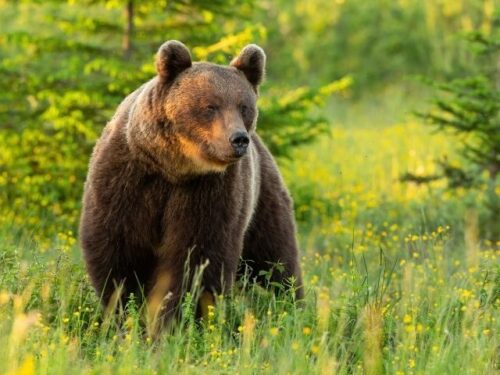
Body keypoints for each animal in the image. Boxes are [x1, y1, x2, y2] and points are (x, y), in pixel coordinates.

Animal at [80, 41, 302, 334]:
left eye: (243, 106)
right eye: (210, 106)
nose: (238, 139)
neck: (173, 167)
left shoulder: (210, 192)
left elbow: (195, 257)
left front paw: (170, 321)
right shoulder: (127, 179)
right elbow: (117, 249)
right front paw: (124, 315)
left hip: (262, 201)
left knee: (277, 259)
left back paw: (295, 306)